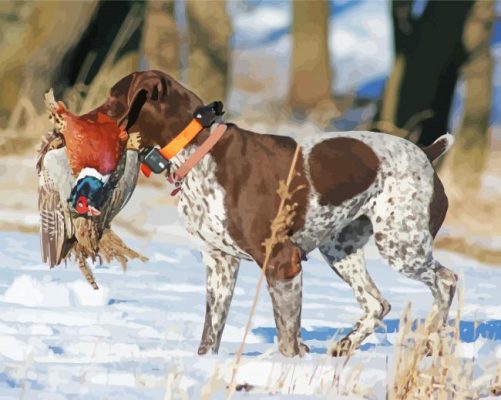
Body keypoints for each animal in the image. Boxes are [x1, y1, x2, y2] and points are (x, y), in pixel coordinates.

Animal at [93, 70, 454, 358]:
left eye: (111, 101)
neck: (198, 152)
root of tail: (426, 153)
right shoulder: (221, 262)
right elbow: (211, 333)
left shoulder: (282, 261)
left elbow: (287, 336)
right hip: (340, 249)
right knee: (378, 304)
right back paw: (347, 345)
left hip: (402, 247)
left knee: (446, 281)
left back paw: (428, 340)